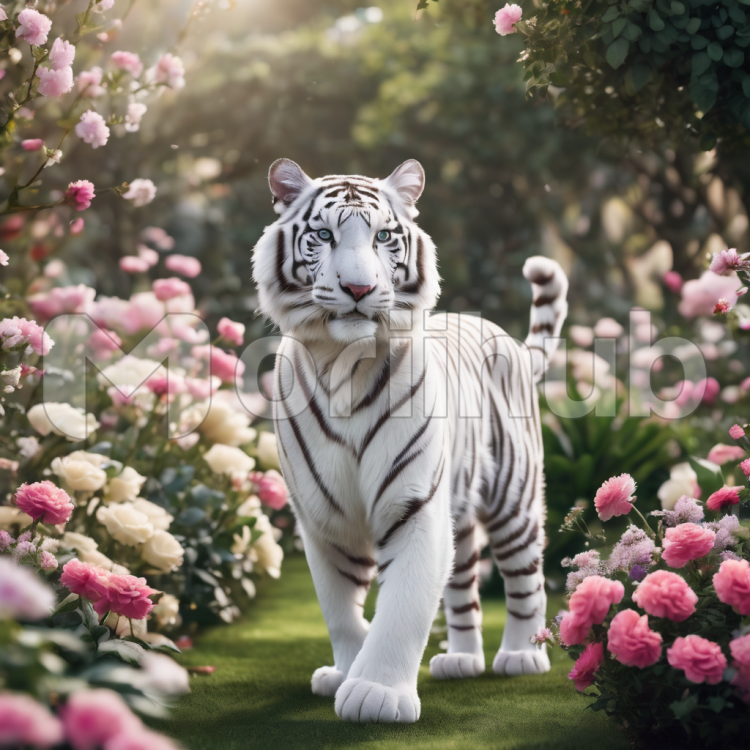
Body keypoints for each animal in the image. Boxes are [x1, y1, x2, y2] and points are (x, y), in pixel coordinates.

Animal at [251, 158, 569, 724]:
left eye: (383, 236)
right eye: (324, 235)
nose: (358, 289)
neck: (342, 365)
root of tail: (506, 337)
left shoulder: (414, 504)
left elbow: (404, 605)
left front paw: (376, 694)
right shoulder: (323, 517)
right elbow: (340, 610)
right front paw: (345, 672)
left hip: (514, 498)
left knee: (525, 576)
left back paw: (521, 656)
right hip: (460, 509)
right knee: (463, 587)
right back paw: (460, 660)